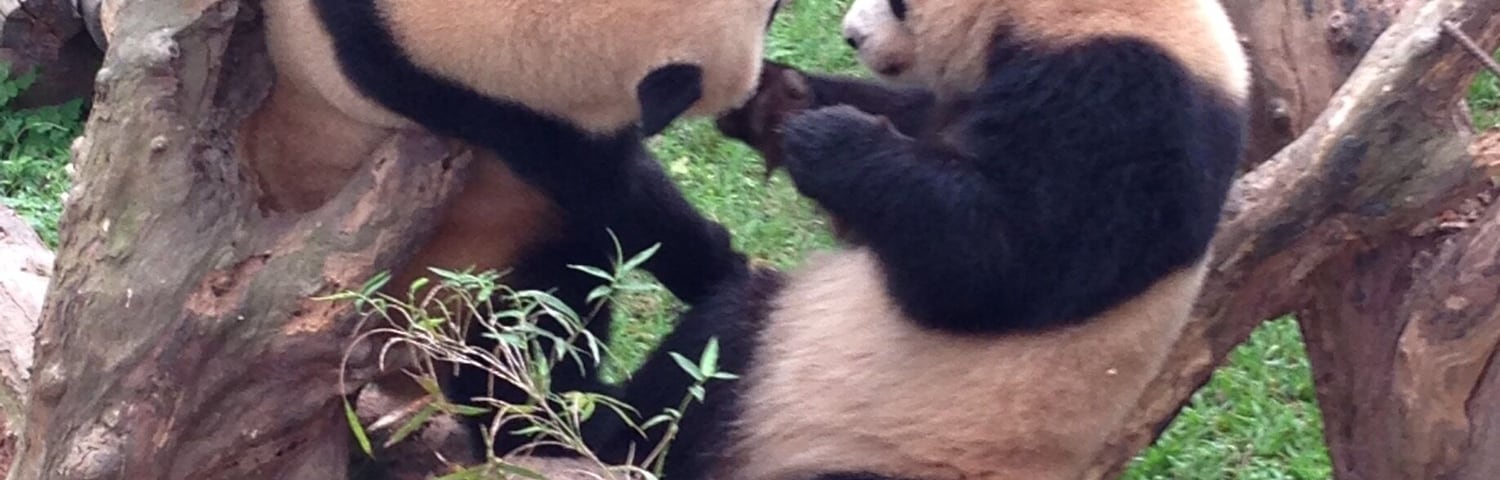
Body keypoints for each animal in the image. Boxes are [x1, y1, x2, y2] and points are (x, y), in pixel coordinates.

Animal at [590, 0, 1251, 478]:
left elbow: (992, 261)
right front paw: (773, 96)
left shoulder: (1129, 108)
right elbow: (915, 128)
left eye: (899, 1)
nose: (851, 34)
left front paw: (830, 139)